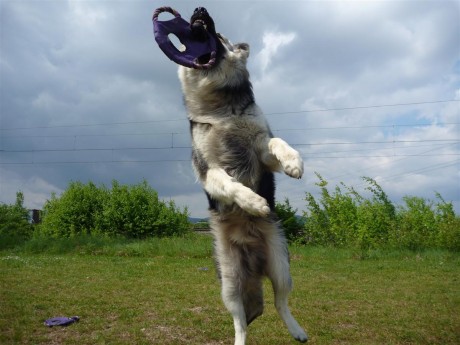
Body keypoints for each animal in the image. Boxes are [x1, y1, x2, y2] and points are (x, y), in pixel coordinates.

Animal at [178, 6, 308, 344]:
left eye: (221, 37)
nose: (198, 9)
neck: (223, 110)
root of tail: (253, 263)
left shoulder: (263, 151)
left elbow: (277, 142)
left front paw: (294, 163)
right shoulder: (208, 171)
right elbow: (229, 182)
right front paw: (253, 202)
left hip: (282, 267)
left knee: (280, 302)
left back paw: (297, 330)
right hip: (230, 284)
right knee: (240, 322)